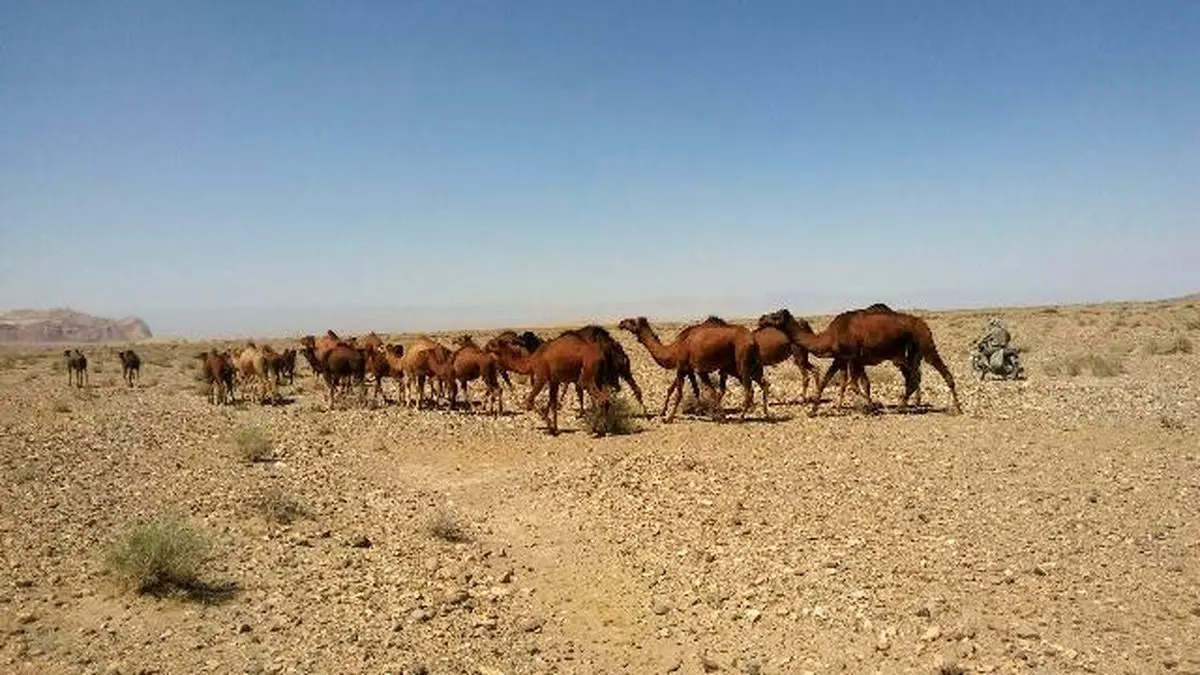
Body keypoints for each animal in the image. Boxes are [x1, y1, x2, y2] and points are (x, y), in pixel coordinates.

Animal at [484, 331, 614, 437]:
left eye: (492, 345)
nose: (484, 349)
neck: (531, 361)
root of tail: (601, 356)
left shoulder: (541, 376)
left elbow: (530, 401)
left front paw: (550, 426)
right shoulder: (554, 380)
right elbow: (552, 403)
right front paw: (554, 428)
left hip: (588, 374)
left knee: (602, 399)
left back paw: (592, 430)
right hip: (599, 378)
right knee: (607, 398)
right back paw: (605, 429)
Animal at [619, 314, 768, 420]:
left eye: (632, 321)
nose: (621, 323)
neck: (674, 349)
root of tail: (752, 340)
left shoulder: (681, 366)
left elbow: (679, 393)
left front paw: (669, 418)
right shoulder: (689, 369)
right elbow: (689, 390)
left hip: (741, 361)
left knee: (749, 389)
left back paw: (741, 417)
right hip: (739, 366)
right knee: (761, 383)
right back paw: (763, 413)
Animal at [758, 306, 964, 413]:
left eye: (775, 316)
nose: (761, 318)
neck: (829, 335)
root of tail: (923, 323)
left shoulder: (853, 357)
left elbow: (855, 384)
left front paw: (871, 406)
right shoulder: (842, 358)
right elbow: (830, 381)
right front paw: (813, 411)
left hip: (924, 342)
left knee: (939, 372)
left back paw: (957, 408)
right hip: (909, 352)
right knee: (913, 377)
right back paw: (903, 406)